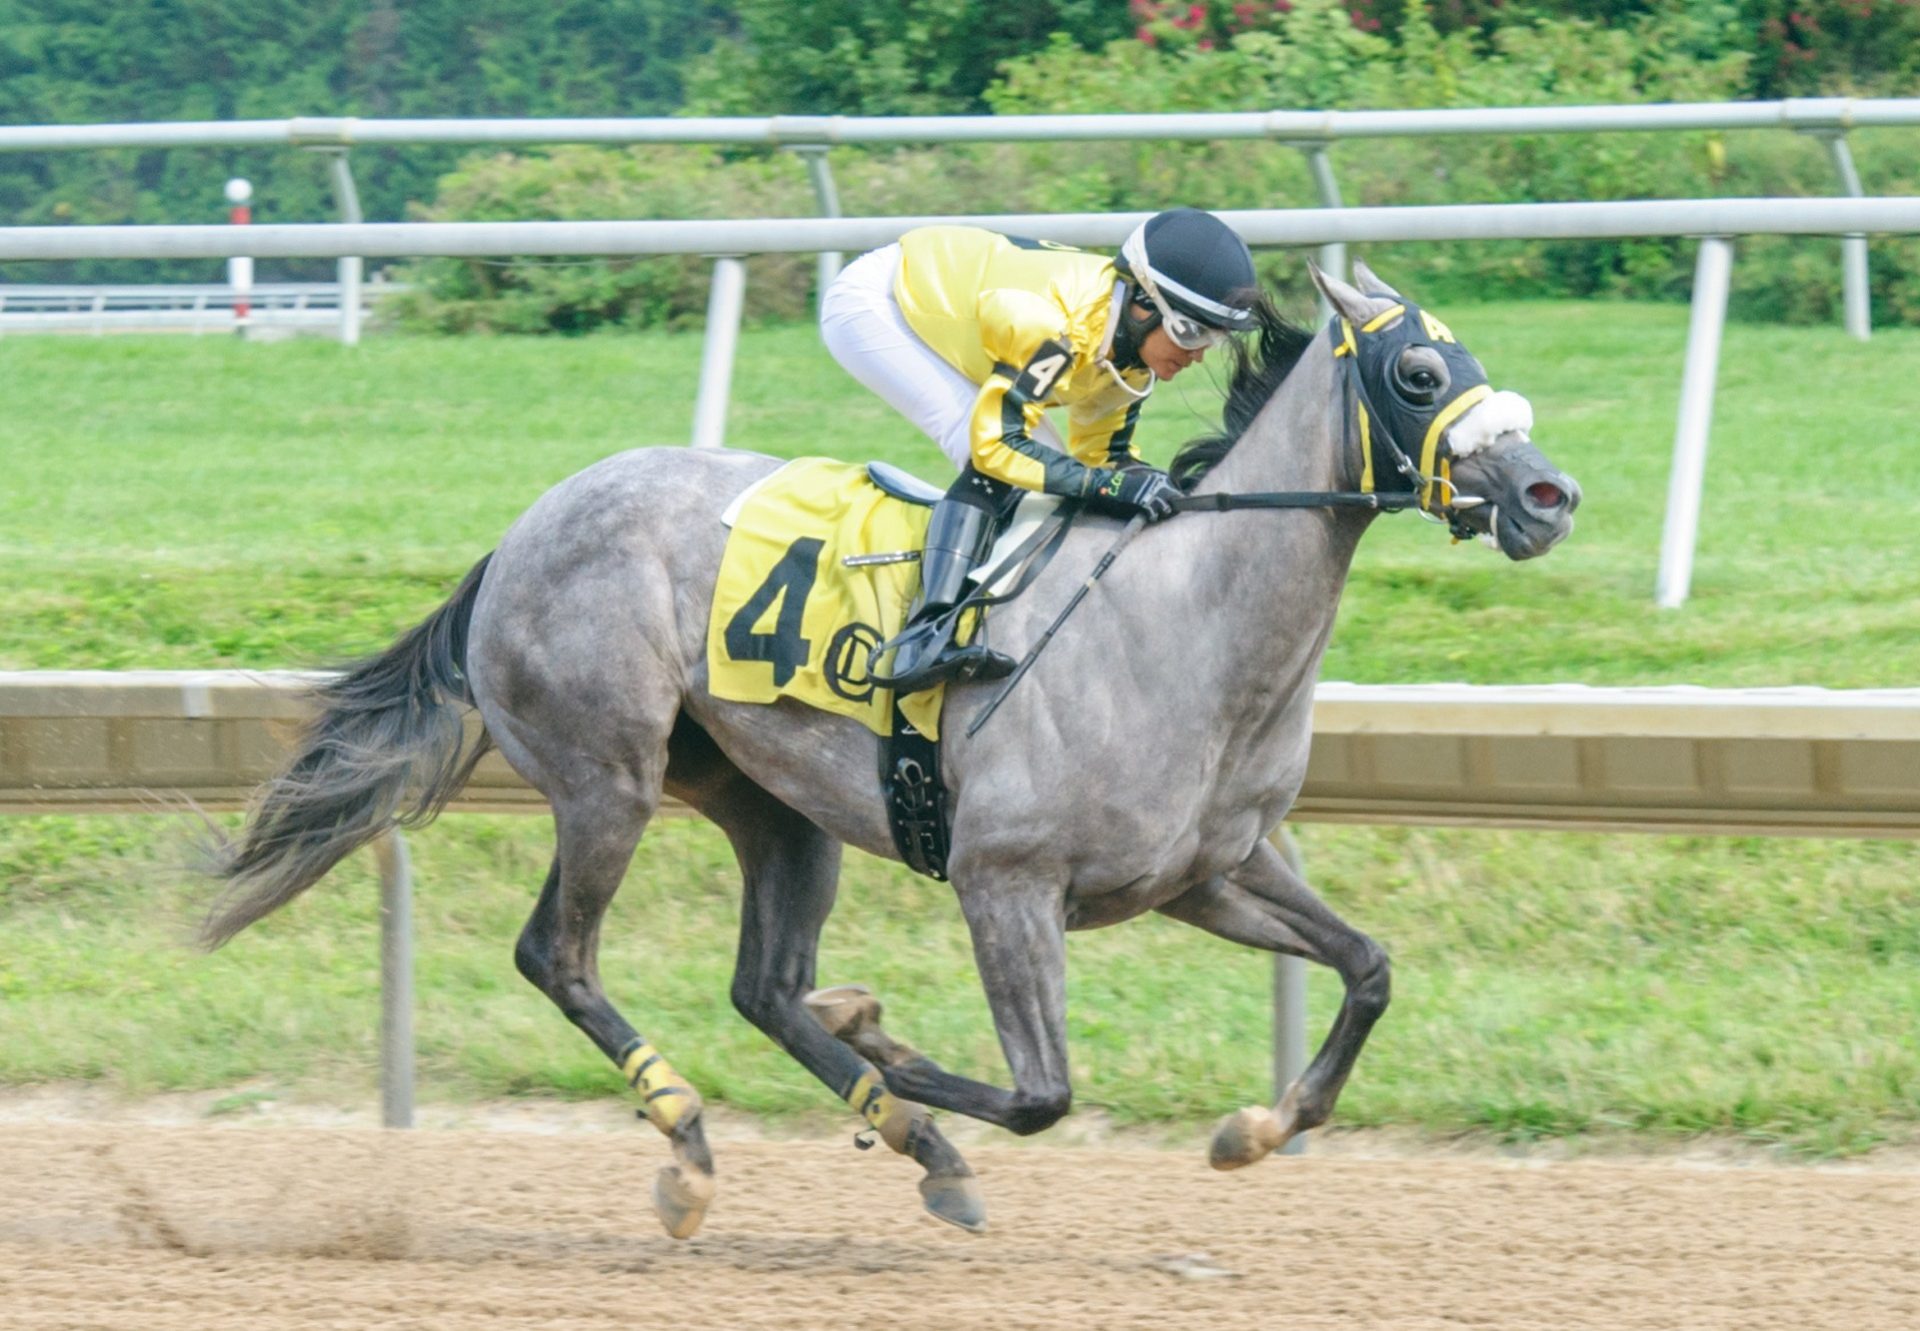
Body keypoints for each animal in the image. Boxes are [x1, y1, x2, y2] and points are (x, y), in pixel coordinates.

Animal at [198, 265, 1574, 1244]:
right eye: (1417, 369)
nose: (1548, 494)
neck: (1186, 618)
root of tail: (521, 531)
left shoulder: (1209, 871)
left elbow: (1371, 968)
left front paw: (1255, 1126)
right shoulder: (1005, 881)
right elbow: (1042, 1091)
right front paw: (883, 1033)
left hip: (775, 808)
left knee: (762, 987)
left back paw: (912, 1139)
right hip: (606, 776)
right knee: (561, 953)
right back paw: (692, 1141)